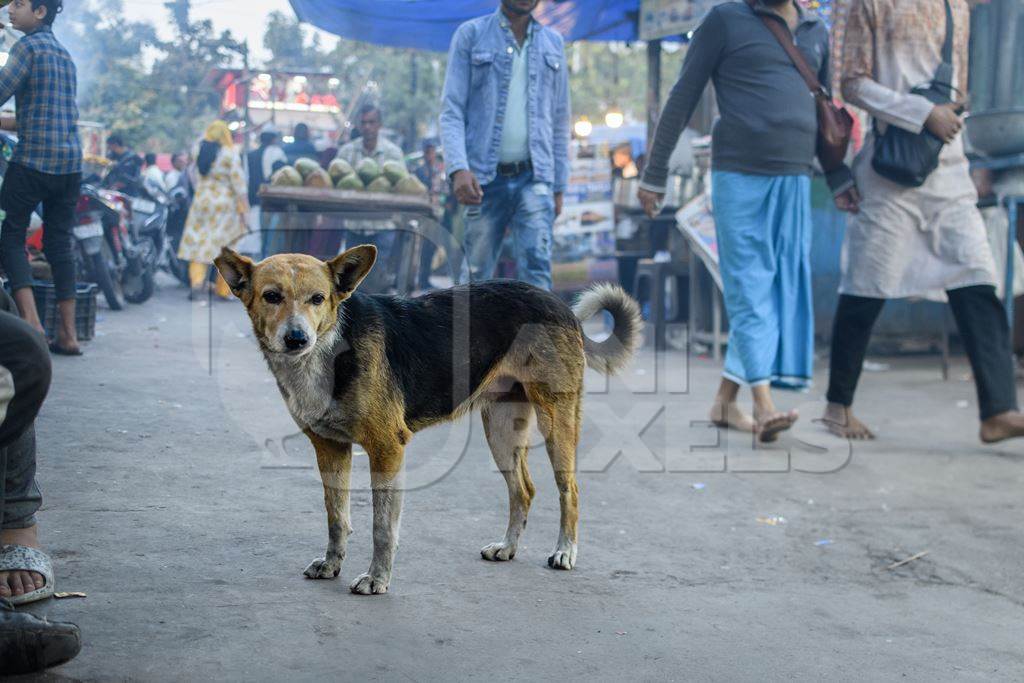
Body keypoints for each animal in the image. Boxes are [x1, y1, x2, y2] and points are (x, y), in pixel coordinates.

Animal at [215, 244, 638, 593]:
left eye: (317, 299)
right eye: (272, 297)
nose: (297, 339)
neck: (330, 350)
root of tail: (559, 303)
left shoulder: (387, 449)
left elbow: (382, 528)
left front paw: (377, 579)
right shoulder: (330, 449)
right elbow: (337, 517)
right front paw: (333, 564)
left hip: (556, 423)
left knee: (571, 491)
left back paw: (565, 551)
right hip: (501, 431)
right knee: (524, 491)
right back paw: (507, 547)